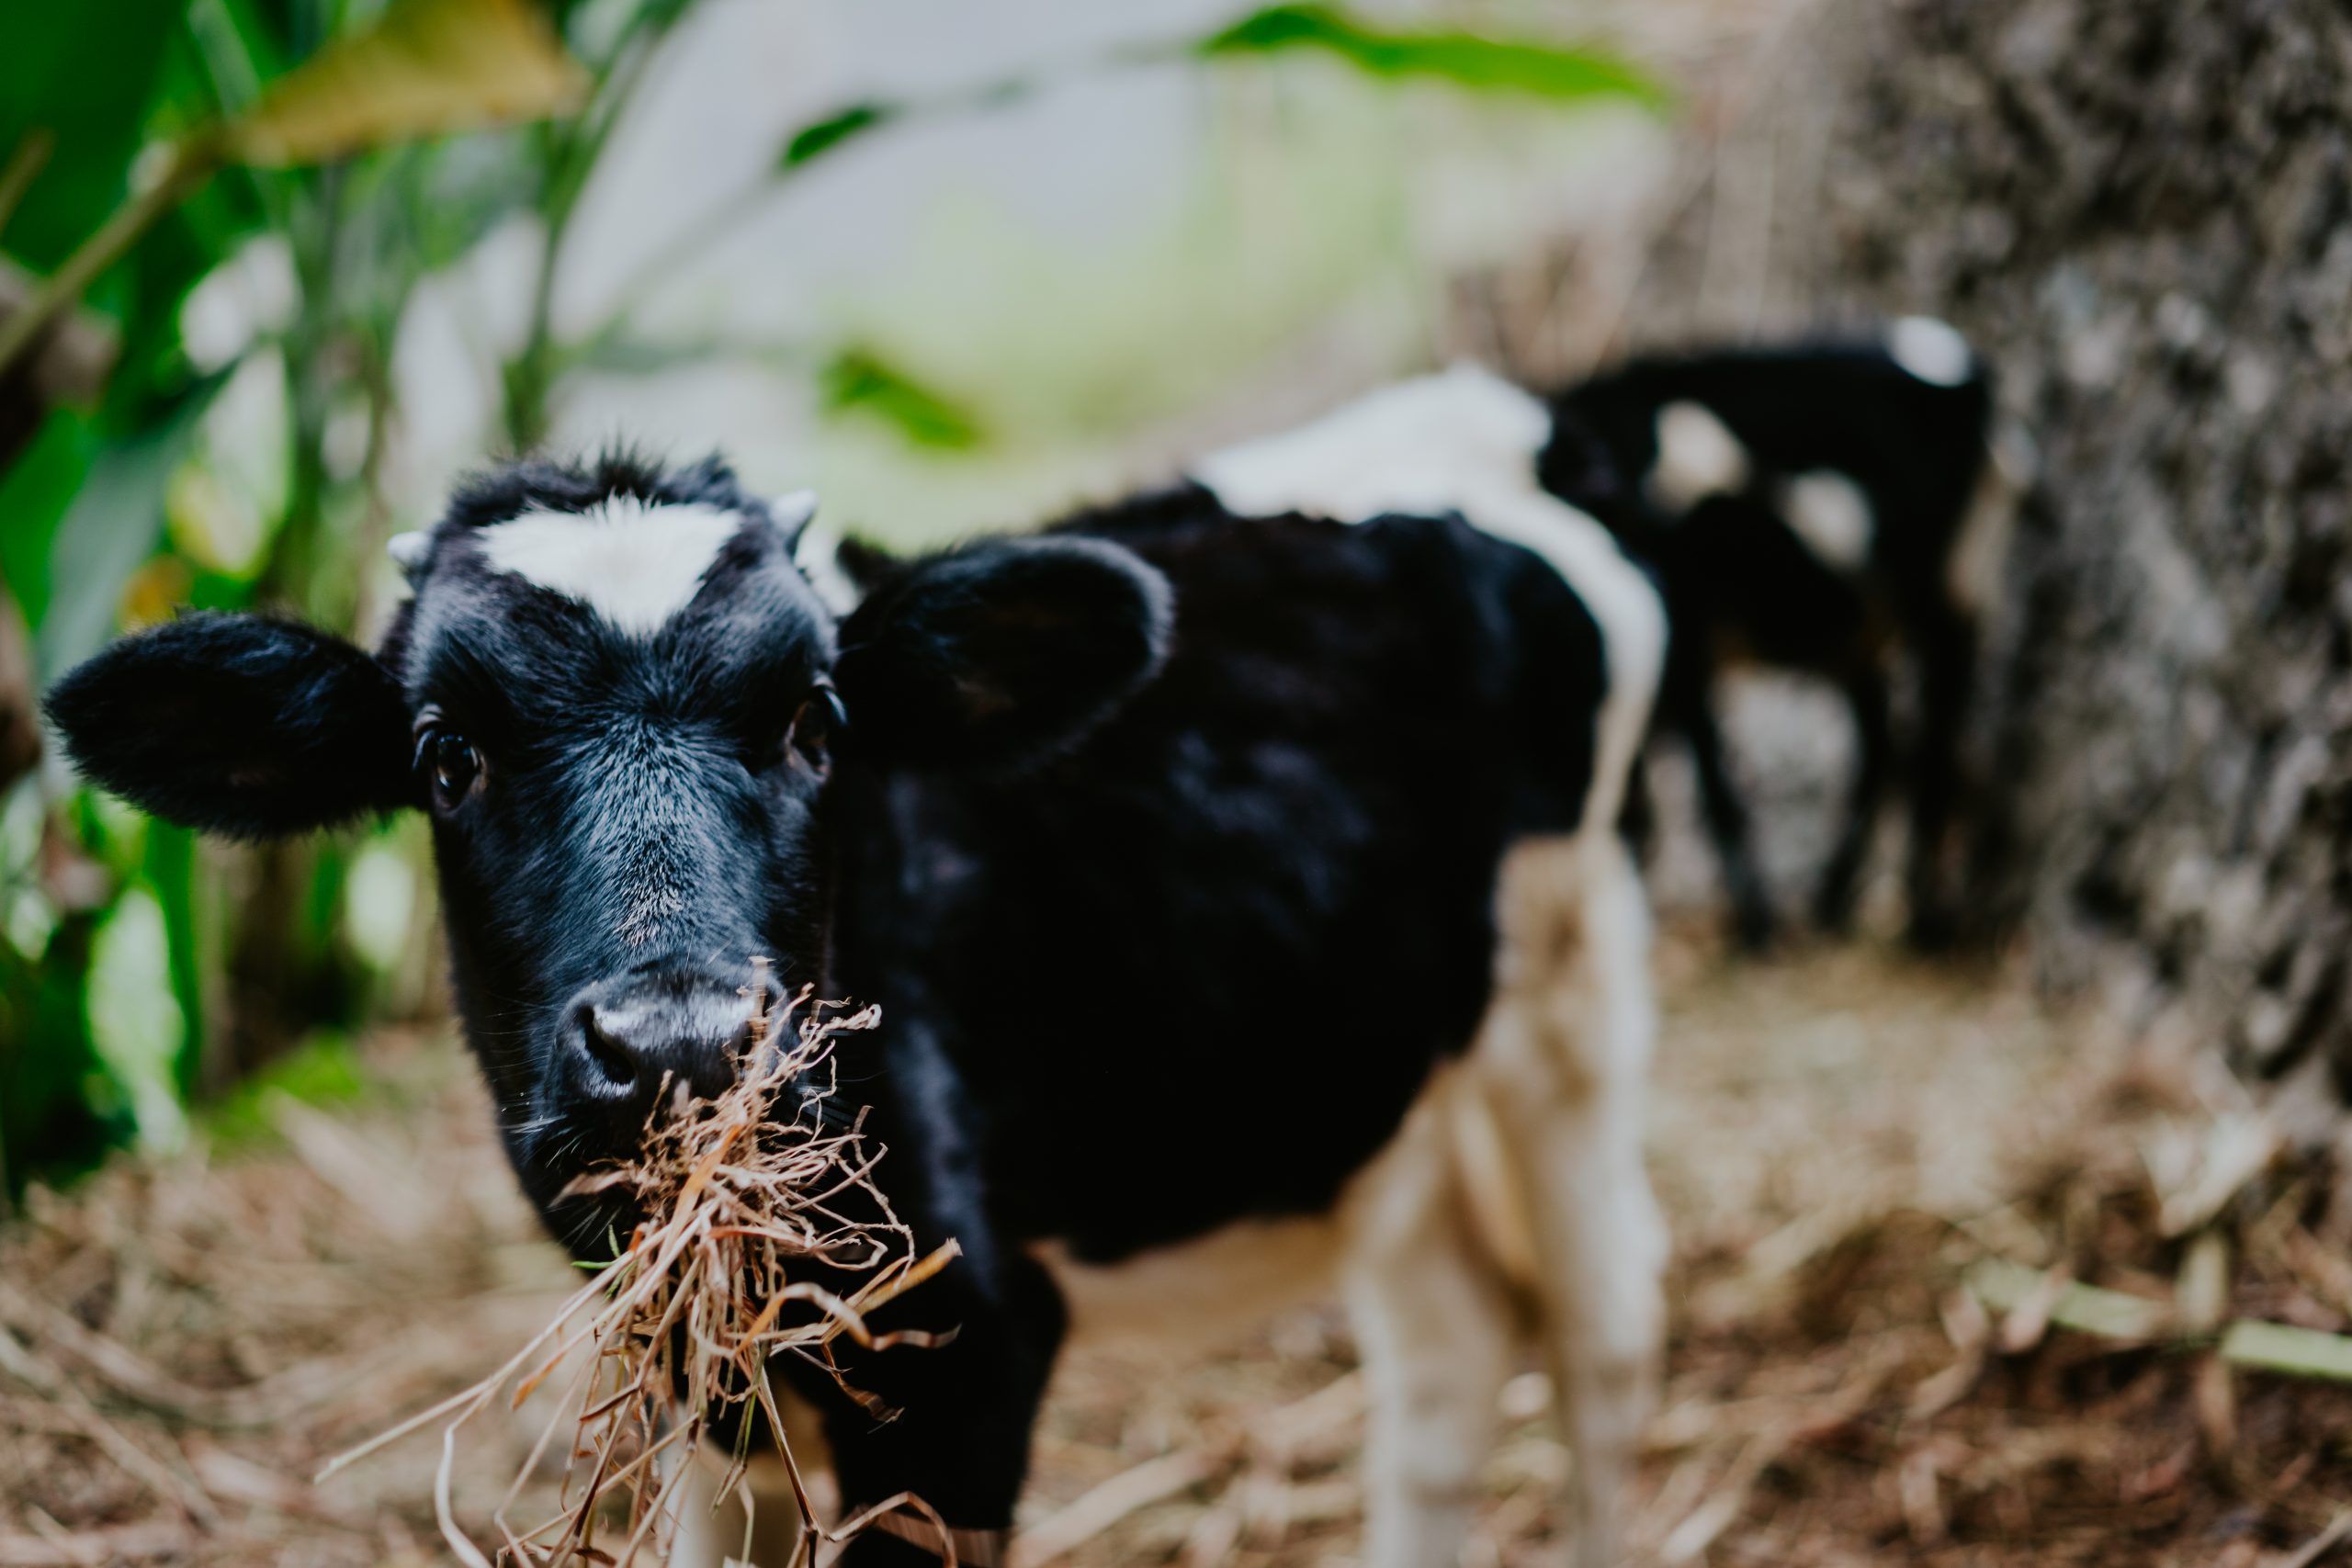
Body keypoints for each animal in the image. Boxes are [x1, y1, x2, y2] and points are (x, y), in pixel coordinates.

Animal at [55, 371, 1674, 1568]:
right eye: (445, 756)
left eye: (817, 720)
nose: (682, 1040)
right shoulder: (701, 1362)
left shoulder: (972, 1348)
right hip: (1380, 1082)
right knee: (1452, 1346)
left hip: (1573, 987)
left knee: (1603, 1341)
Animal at [1533, 321, 2013, 944]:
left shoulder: (1685, 639)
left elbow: (1714, 789)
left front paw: (1755, 927)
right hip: (1861, 633)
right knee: (1881, 750)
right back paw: (1832, 904)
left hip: (1946, 598)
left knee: (1933, 745)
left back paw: (1923, 922)